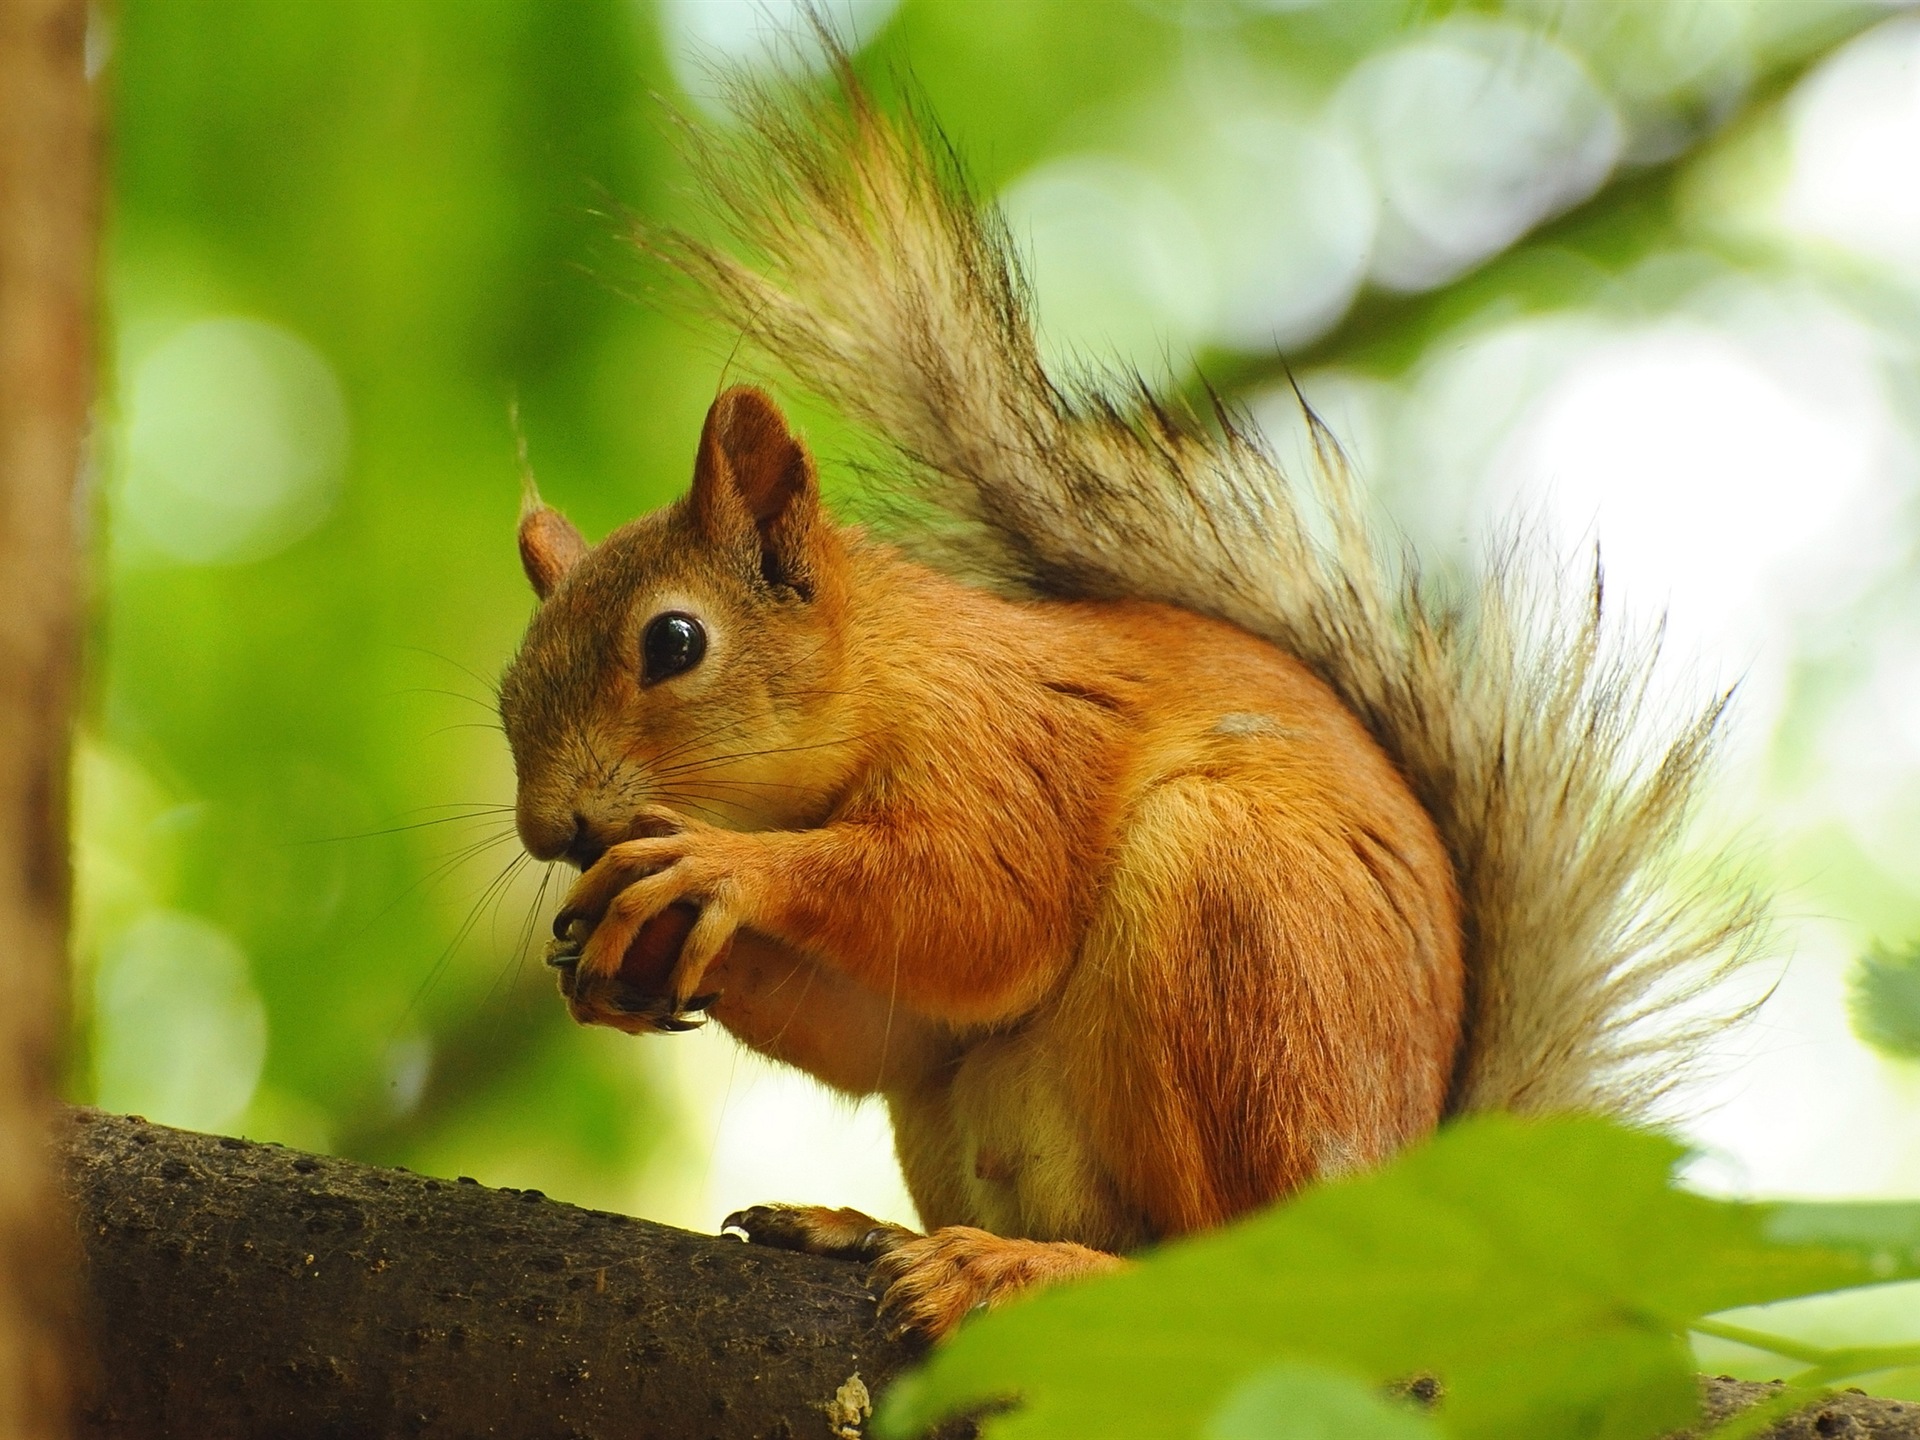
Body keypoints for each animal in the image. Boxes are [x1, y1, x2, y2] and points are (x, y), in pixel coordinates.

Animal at [499, 39, 1766, 1344]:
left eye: (674, 642)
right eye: (508, 682)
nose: (551, 828)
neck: (892, 674)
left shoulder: (1016, 746)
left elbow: (980, 906)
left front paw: (717, 868)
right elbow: (888, 1028)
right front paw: (618, 953)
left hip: (1233, 933)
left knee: (1224, 1264)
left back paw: (1019, 1268)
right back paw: (867, 1231)